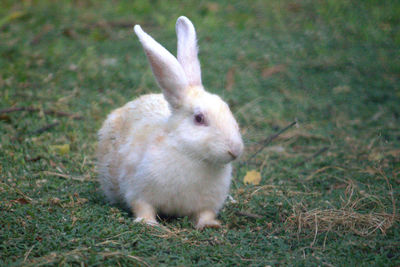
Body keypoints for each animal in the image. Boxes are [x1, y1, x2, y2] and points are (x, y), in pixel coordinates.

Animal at [97, 16, 244, 230]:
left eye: (227, 108)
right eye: (199, 118)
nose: (235, 150)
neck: (191, 154)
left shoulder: (209, 203)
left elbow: (205, 214)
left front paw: (210, 225)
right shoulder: (138, 191)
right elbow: (143, 207)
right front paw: (149, 224)